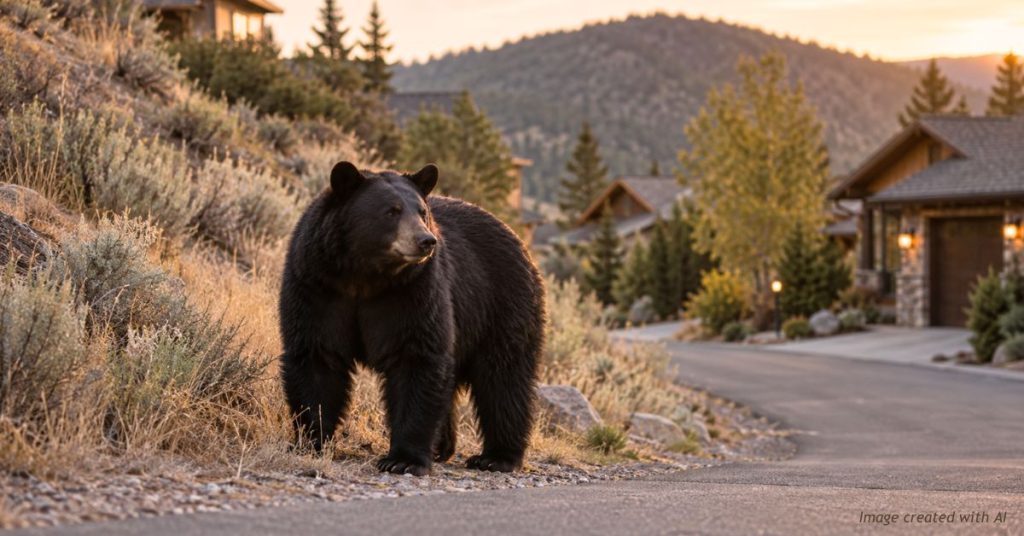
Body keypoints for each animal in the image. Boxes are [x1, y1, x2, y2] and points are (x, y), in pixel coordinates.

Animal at [279, 161, 545, 476]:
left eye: (422, 211)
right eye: (391, 211)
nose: (426, 241)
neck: (364, 275)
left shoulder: (415, 292)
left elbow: (416, 357)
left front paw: (403, 459)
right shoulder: (317, 285)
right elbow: (317, 358)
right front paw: (311, 441)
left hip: (501, 303)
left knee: (503, 377)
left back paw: (496, 457)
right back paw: (444, 447)